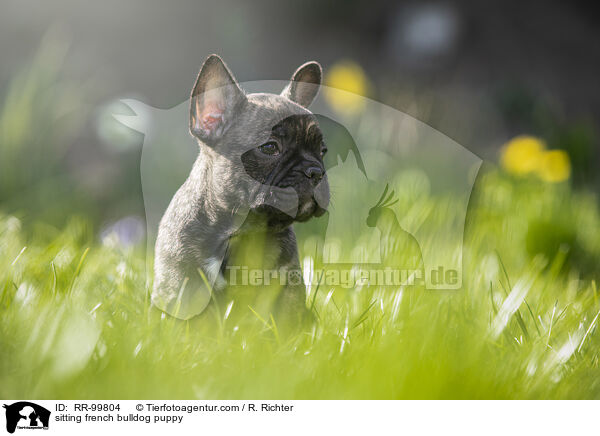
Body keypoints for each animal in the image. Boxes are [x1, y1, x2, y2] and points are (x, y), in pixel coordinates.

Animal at [150, 53, 328, 324]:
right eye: (269, 148)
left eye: (322, 151)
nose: (315, 171)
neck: (242, 231)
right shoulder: (179, 286)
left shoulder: (286, 288)